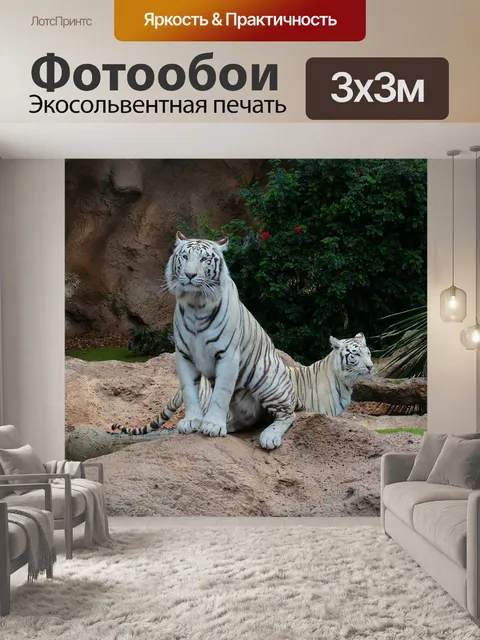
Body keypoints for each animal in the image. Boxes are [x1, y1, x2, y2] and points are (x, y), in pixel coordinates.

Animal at [123, 231, 298, 450]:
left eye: (204, 259)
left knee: (288, 415)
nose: (190, 275)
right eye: (185, 257)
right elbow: (189, 391)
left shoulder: (228, 355)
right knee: (249, 419)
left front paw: (213, 425)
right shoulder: (183, 355)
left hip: (266, 378)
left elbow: (221, 394)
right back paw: (230, 424)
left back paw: (269, 436)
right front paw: (192, 421)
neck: (195, 303)